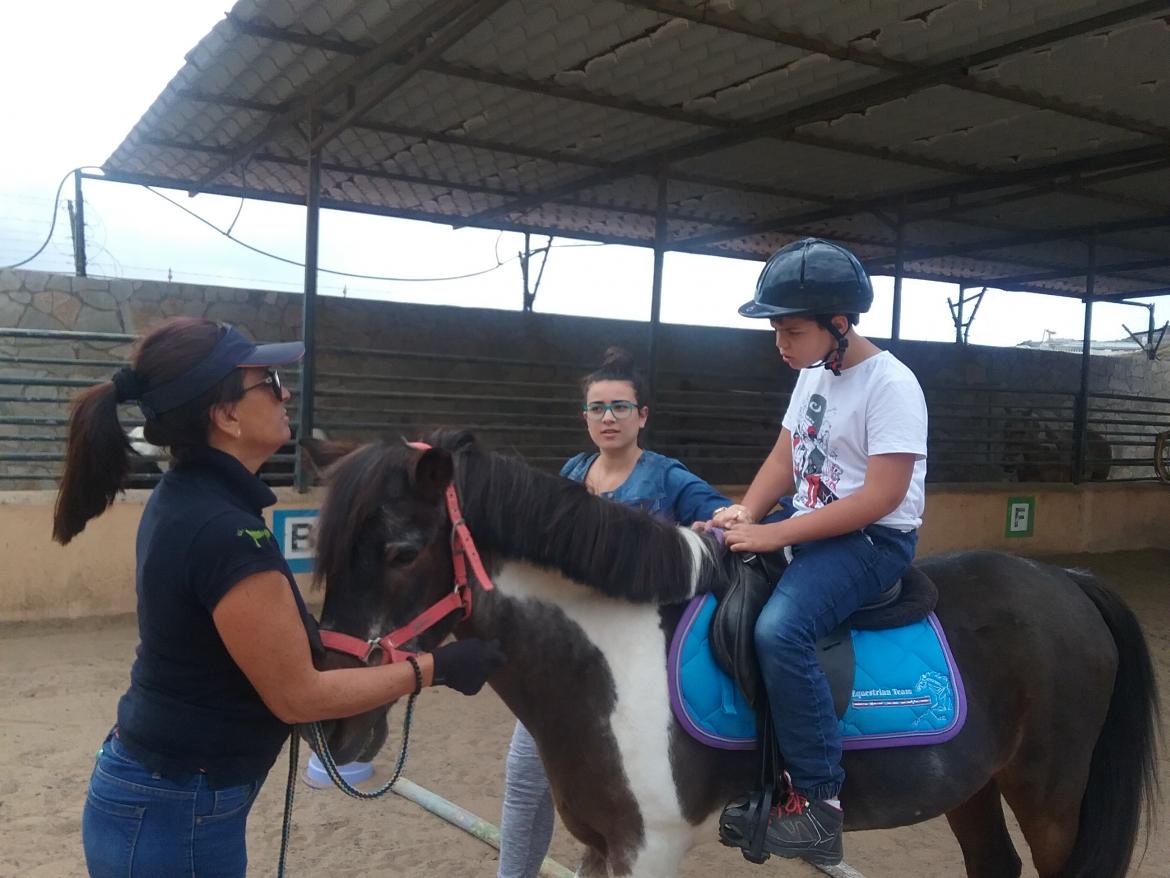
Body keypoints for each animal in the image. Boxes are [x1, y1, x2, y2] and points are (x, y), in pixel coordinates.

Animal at [302, 431, 1159, 878]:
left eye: (403, 551)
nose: (331, 731)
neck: (611, 661)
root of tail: (1068, 582)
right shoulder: (601, 843)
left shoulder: (650, 848)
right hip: (972, 785)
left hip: (1049, 794)